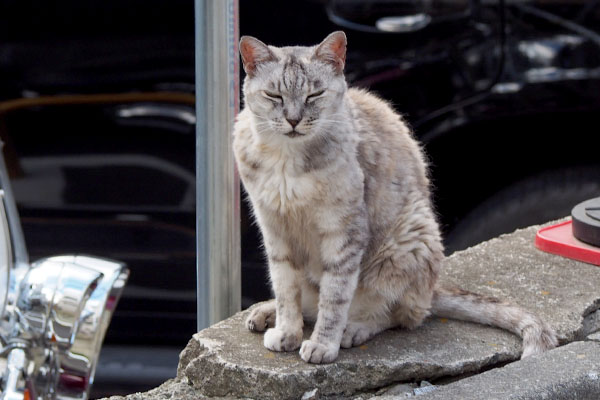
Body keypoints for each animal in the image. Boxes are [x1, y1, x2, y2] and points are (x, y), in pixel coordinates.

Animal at [231, 30, 556, 362]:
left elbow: (335, 298)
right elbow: (286, 289)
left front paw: (322, 344)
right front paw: (287, 331)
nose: (294, 120)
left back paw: (354, 329)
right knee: (310, 301)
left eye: (315, 95)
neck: (287, 159)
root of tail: (433, 289)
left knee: (399, 314)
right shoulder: (275, 231)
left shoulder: (344, 231)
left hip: (408, 243)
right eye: (274, 96)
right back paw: (265, 313)